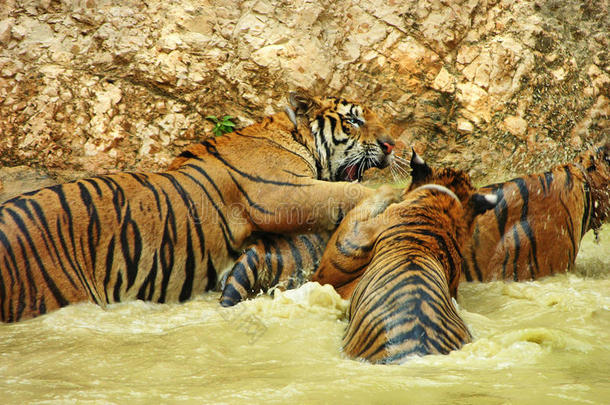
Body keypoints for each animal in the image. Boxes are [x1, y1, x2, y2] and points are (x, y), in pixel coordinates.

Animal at [0, 91, 394, 322]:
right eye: (354, 119)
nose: (391, 145)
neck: (292, 135)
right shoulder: (281, 194)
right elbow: (345, 193)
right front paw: (389, 195)